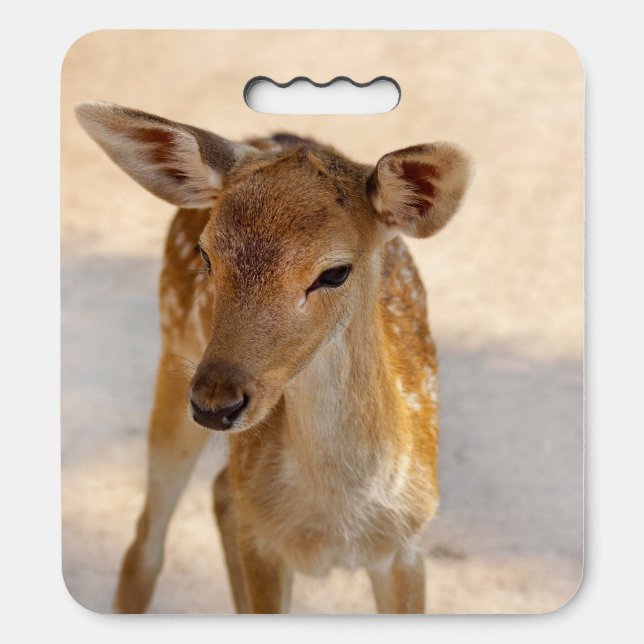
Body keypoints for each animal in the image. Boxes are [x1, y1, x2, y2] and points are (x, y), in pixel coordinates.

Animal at [75, 102, 472, 614]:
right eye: (206, 255)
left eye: (335, 272)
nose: (215, 403)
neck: (335, 523)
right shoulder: (264, 544)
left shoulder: (408, 544)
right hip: (173, 351)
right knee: (146, 541)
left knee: (220, 490)